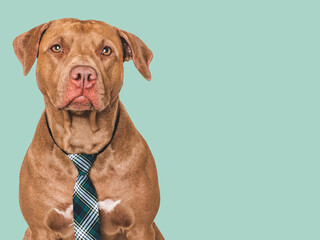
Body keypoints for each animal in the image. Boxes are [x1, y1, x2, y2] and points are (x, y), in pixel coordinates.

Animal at [13, 18, 162, 240]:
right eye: (57, 48)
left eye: (106, 50)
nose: (83, 74)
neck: (82, 144)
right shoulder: (40, 229)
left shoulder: (141, 227)